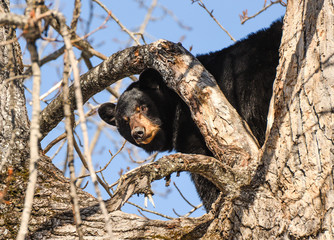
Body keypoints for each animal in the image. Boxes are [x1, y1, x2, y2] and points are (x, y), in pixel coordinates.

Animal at [98, 20, 282, 212]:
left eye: (142, 107)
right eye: (124, 121)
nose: (138, 132)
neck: (176, 104)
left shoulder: (196, 127)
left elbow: (204, 169)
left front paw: (215, 202)